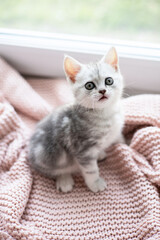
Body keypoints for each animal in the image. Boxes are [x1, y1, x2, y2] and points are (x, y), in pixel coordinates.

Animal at [28, 47, 124, 193]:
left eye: (109, 81)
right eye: (89, 85)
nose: (102, 91)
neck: (105, 113)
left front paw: (100, 153)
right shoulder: (83, 148)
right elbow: (91, 170)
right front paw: (95, 183)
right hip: (47, 155)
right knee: (52, 170)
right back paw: (64, 180)